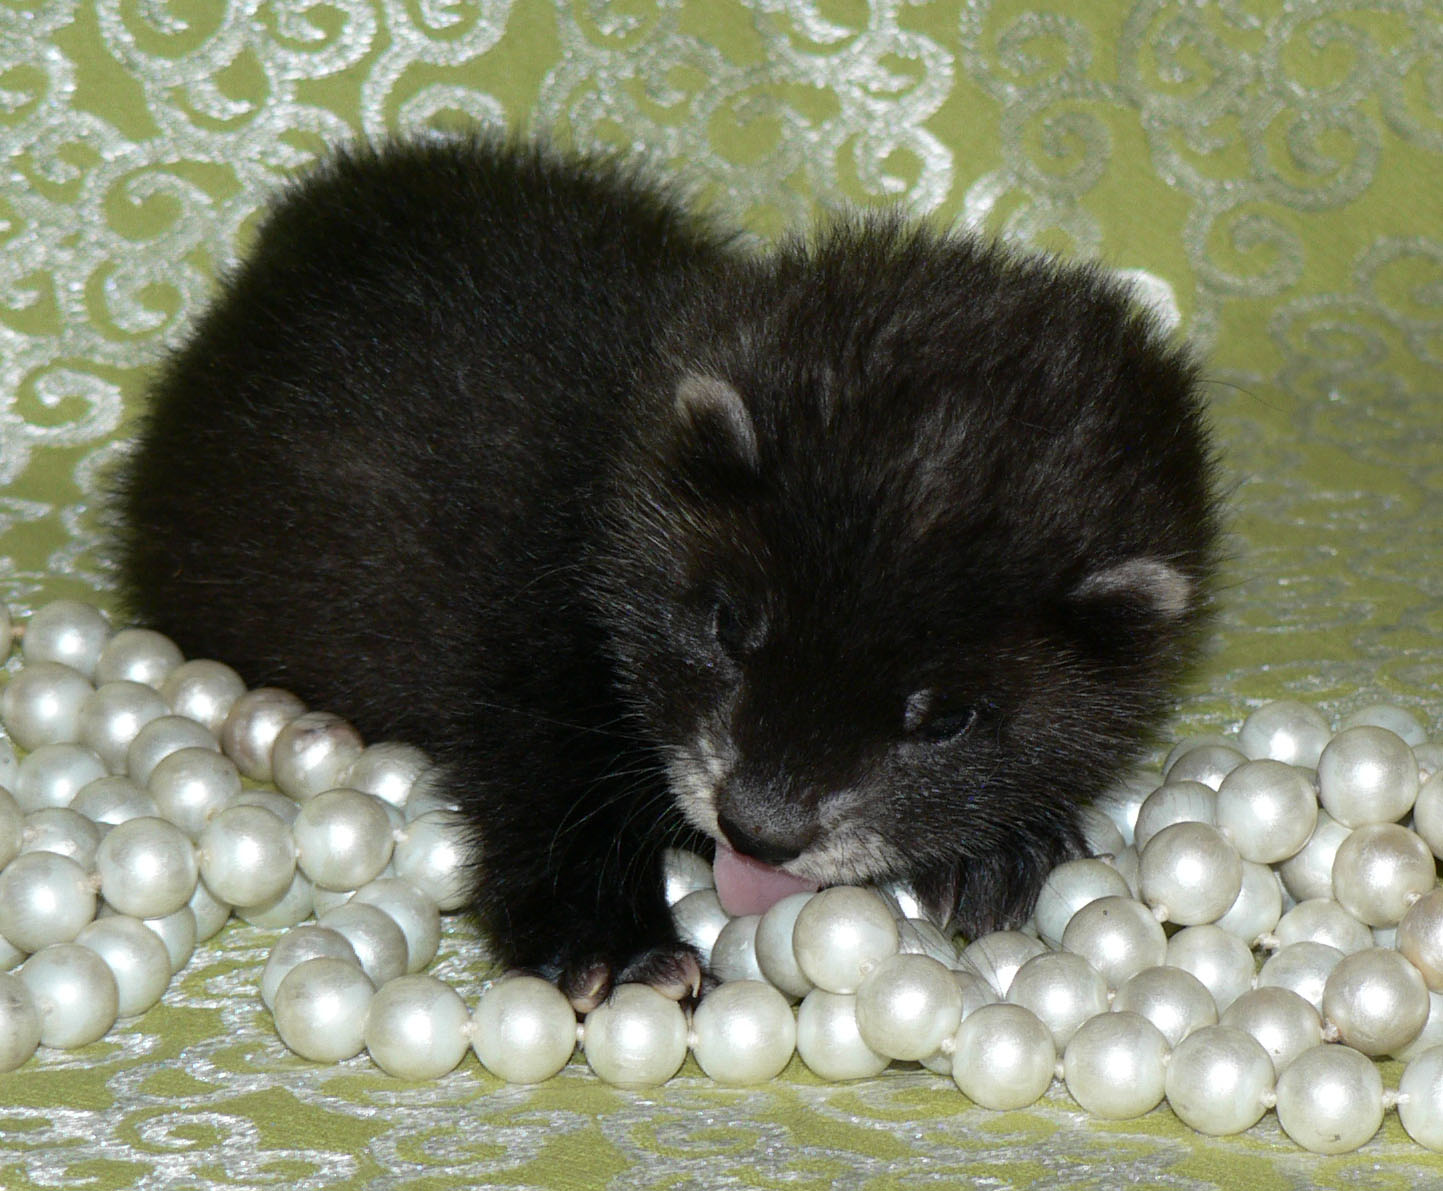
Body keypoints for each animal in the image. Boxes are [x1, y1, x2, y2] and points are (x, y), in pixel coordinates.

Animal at [114, 133, 1220, 1009]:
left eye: (948, 715)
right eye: (729, 622)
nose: (761, 826)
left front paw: (1005, 848)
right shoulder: (530, 667)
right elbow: (547, 797)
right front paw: (613, 945)